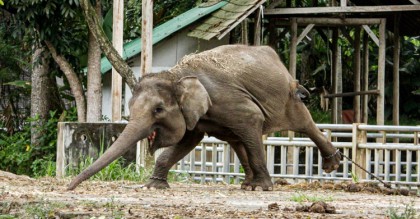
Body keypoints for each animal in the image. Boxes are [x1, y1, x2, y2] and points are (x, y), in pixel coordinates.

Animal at [68, 45, 342, 191]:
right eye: (130, 106)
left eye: (158, 110)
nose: (69, 187)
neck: (176, 74)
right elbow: (188, 141)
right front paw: (153, 186)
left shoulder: (230, 101)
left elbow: (251, 119)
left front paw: (263, 189)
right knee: (238, 140)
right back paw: (246, 184)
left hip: (288, 97)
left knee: (302, 123)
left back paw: (332, 164)